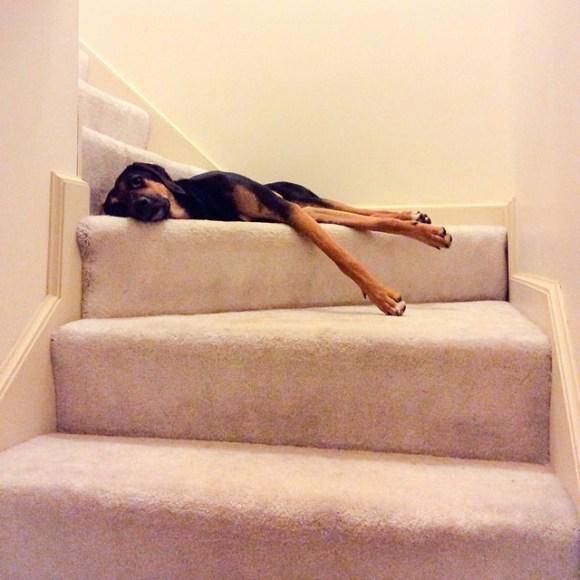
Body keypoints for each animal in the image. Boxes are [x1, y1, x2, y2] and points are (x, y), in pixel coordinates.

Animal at [104, 162, 452, 316]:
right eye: (117, 208)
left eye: (136, 181)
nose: (141, 206)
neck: (200, 203)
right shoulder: (293, 213)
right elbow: (348, 241)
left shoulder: (287, 209)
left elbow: (340, 251)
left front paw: (383, 296)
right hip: (307, 205)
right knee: (359, 214)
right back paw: (413, 218)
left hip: (301, 197)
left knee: (352, 208)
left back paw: (416, 219)